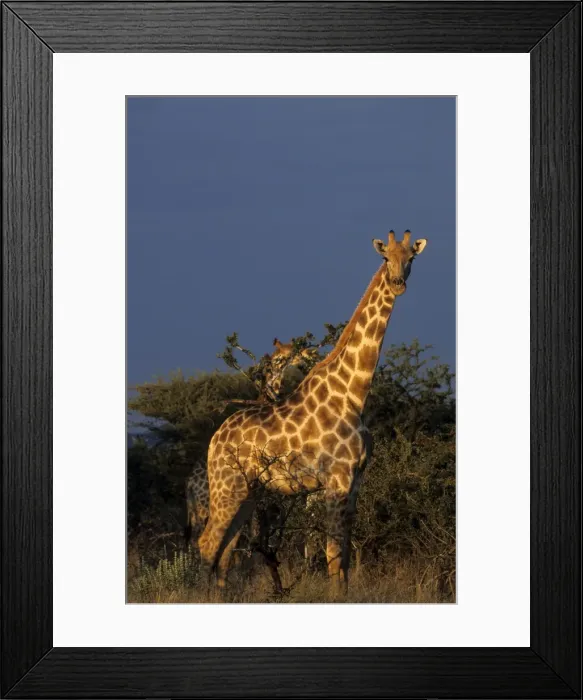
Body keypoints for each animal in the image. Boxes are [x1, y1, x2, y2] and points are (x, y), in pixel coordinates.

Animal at [198, 231, 427, 590]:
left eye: (411, 258)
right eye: (385, 257)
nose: (397, 283)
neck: (353, 394)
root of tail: (213, 441)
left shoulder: (356, 481)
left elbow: (344, 557)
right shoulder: (337, 478)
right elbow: (332, 555)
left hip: (248, 492)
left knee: (225, 549)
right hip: (227, 486)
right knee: (208, 545)